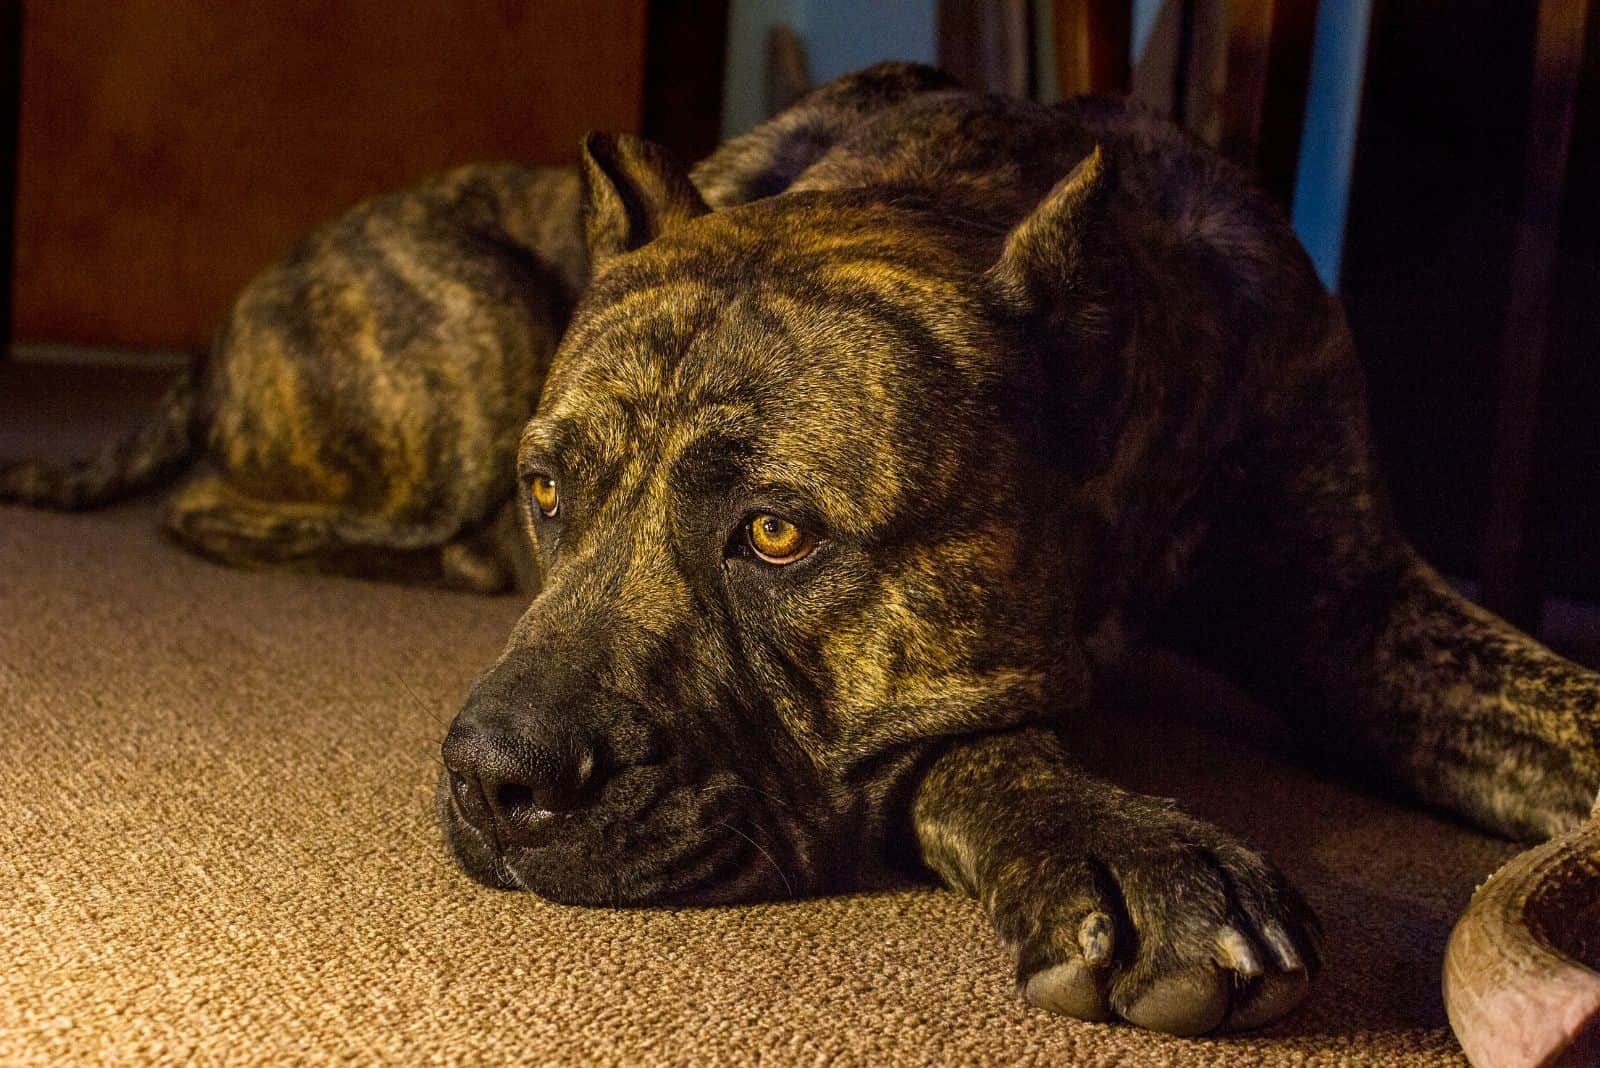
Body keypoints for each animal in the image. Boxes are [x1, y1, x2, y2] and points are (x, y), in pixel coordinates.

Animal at [12, 64, 1600, 1036]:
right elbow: (988, 744)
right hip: (476, 320)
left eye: (777, 534)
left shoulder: (1354, 601)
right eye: (548, 492)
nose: (488, 780)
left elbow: (1560, 700)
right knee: (205, 511)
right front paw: (1118, 838)